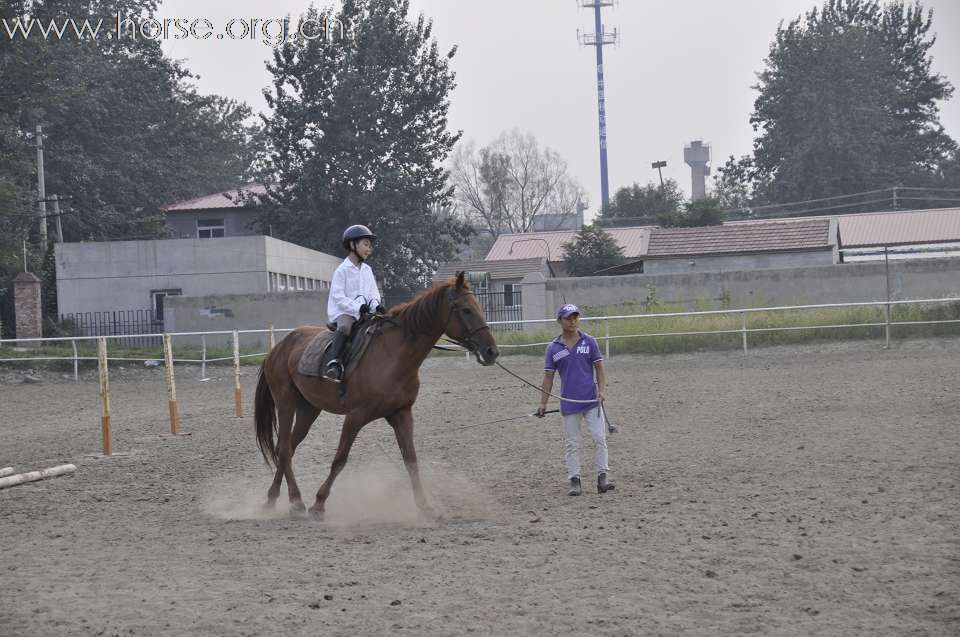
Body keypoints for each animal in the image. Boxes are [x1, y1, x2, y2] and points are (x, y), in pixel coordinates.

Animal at [255, 270, 498, 520]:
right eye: (466, 310)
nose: (492, 351)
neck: (392, 356)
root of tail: (279, 347)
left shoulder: (401, 414)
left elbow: (411, 460)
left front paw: (425, 506)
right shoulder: (355, 416)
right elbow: (340, 460)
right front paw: (319, 504)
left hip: (308, 409)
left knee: (288, 449)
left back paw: (273, 499)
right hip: (286, 403)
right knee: (284, 448)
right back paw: (296, 501)